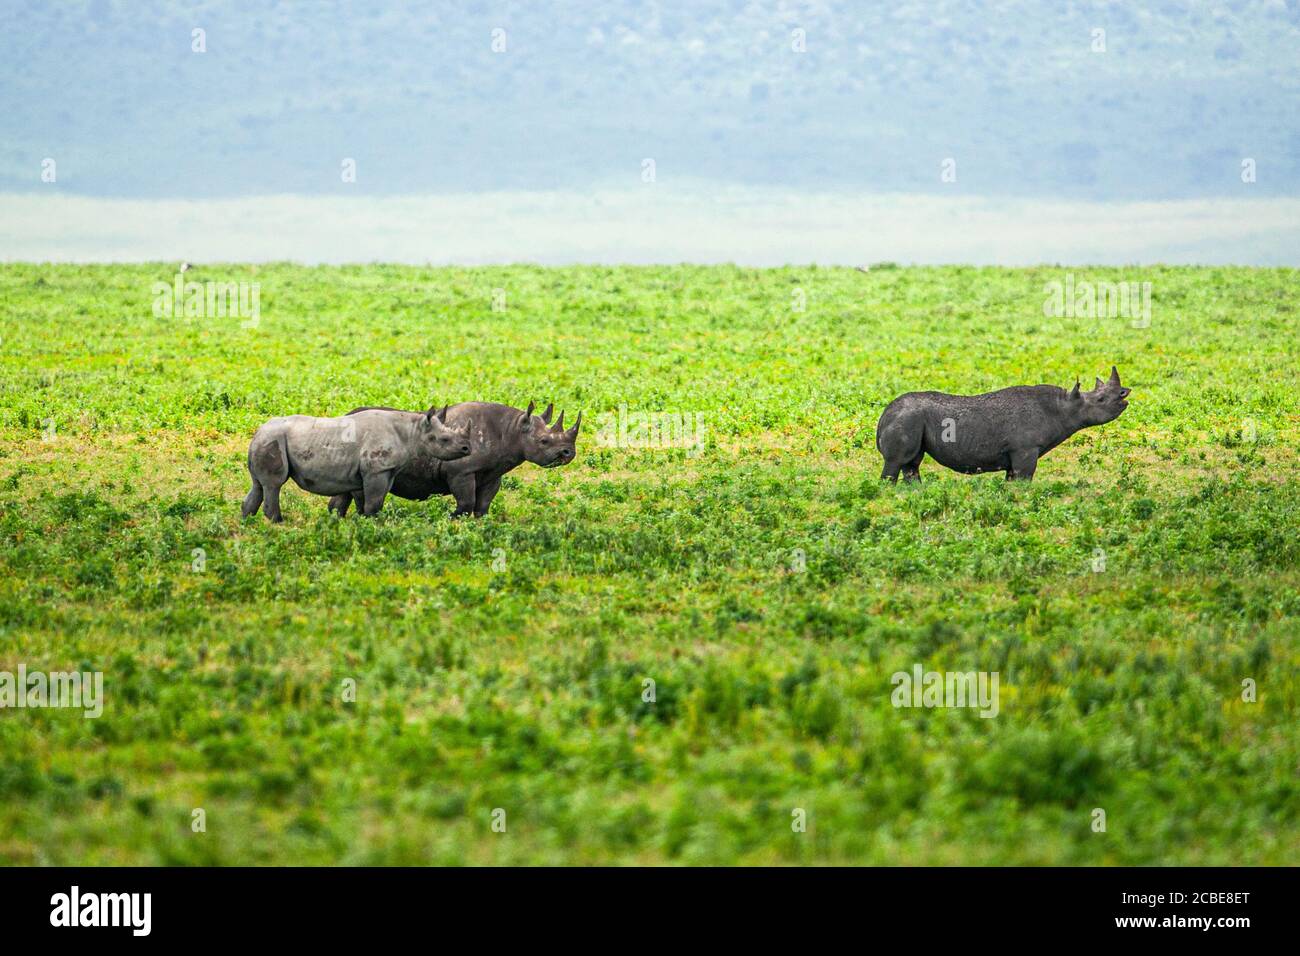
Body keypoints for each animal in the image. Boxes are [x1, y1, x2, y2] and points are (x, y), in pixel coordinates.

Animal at [240, 405, 473, 522]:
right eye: (445, 440)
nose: (467, 449)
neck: (412, 431)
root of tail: (257, 432)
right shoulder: (377, 470)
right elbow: (374, 502)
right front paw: (373, 525)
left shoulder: (381, 471)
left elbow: (367, 501)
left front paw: (362, 522)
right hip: (273, 439)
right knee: (274, 485)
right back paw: (278, 523)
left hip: (266, 440)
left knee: (259, 485)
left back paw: (248, 524)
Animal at [325, 403, 579, 522]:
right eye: (544, 441)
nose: (568, 453)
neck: (513, 430)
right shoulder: (461, 471)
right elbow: (466, 502)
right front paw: (452, 520)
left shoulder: (493, 473)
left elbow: (482, 506)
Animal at [878, 369, 1133, 486]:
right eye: (1100, 400)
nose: (1125, 393)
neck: (1064, 407)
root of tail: (883, 416)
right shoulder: (1025, 450)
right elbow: (1024, 479)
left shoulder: (1015, 454)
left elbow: (1011, 480)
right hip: (906, 418)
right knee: (896, 462)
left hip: (911, 419)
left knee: (912, 464)